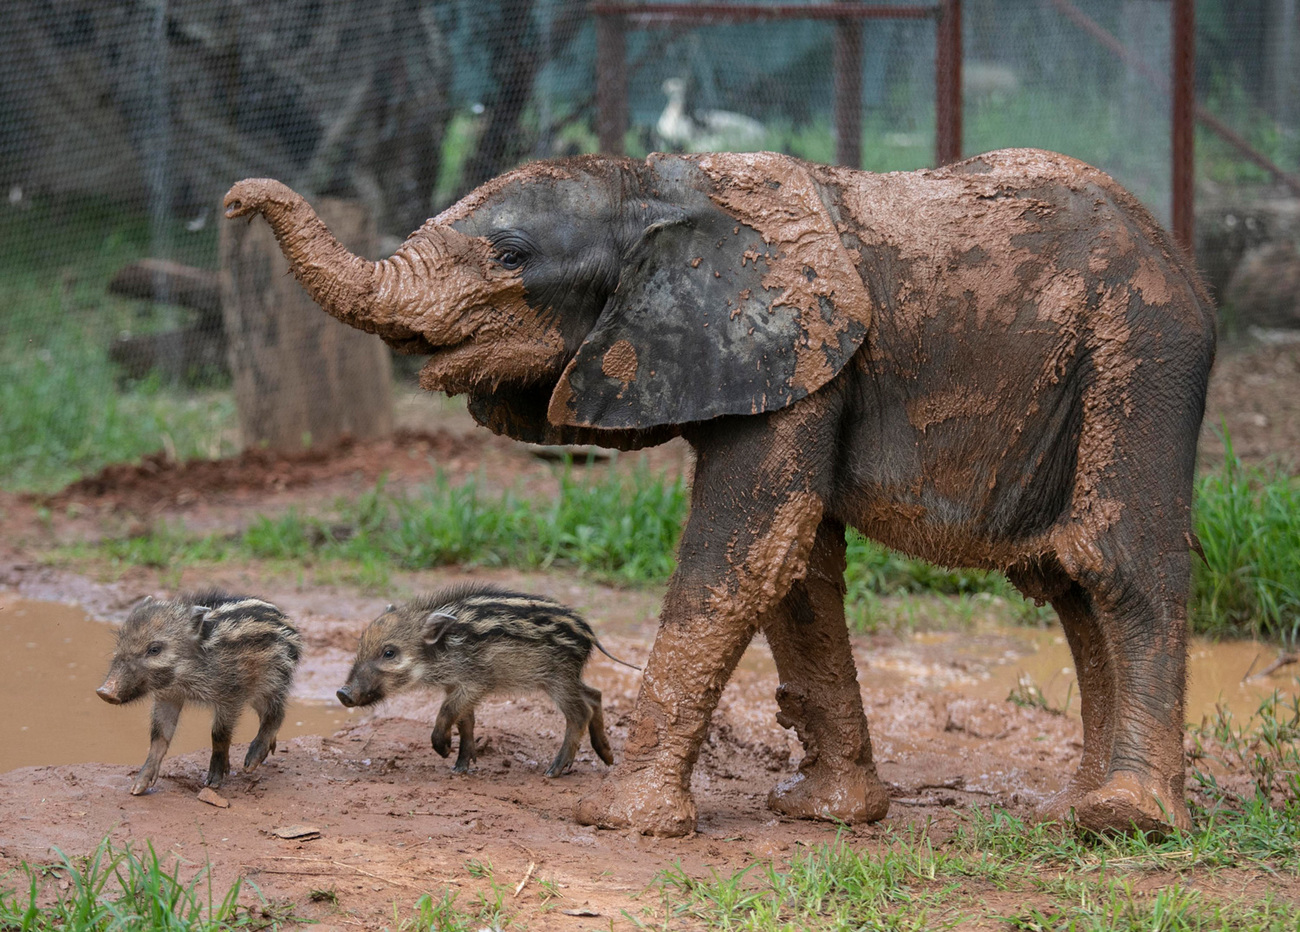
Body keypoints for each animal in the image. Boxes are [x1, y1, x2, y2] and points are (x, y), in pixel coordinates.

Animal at [96, 590, 301, 790]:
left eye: (154, 649)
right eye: (120, 640)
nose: (105, 692)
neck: (186, 676)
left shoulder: (230, 696)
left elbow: (219, 734)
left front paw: (213, 783)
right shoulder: (168, 696)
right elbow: (159, 735)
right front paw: (137, 787)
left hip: (268, 683)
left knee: (276, 712)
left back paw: (250, 764)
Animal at [338, 584, 637, 774]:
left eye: (389, 652)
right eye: (360, 644)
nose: (343, 693)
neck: (442, 652)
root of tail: (589, 634)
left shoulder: (474, 683)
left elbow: (448, 711)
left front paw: (443, 750)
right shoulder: (456, 685)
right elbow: (465, 721)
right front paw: (460, 766)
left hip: (558, 679)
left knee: (579, 713)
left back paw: (555, 770)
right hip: (565, 678)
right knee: (595, 694)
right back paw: (607, 757)